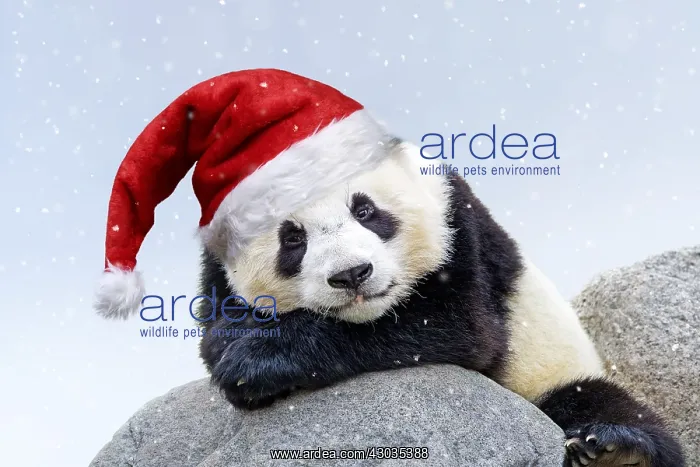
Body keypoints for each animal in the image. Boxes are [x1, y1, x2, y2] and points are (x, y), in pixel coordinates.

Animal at [195, 139, 685, 467]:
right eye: (292, 238)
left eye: (365, 210)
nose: (352, 274)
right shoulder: (215, 269)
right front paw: (238, 345)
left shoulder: (459, 226)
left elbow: (460, 325)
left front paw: (256, 360)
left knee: (594, 400)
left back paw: (618, 450)